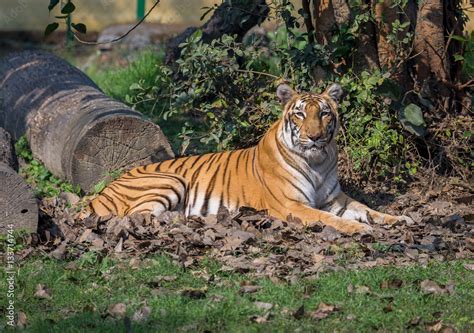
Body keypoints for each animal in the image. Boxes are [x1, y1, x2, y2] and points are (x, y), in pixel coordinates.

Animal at [89, 82, 412, 233]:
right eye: (300, 114)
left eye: (324, 113)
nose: (315, 137)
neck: (317, 162)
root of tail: (100, 192)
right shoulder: (291, 205)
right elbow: (329, 220)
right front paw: (359, 229)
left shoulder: (337, 200)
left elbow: (369, 209)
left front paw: (400, 219)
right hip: (170, 180)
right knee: (138, 217)